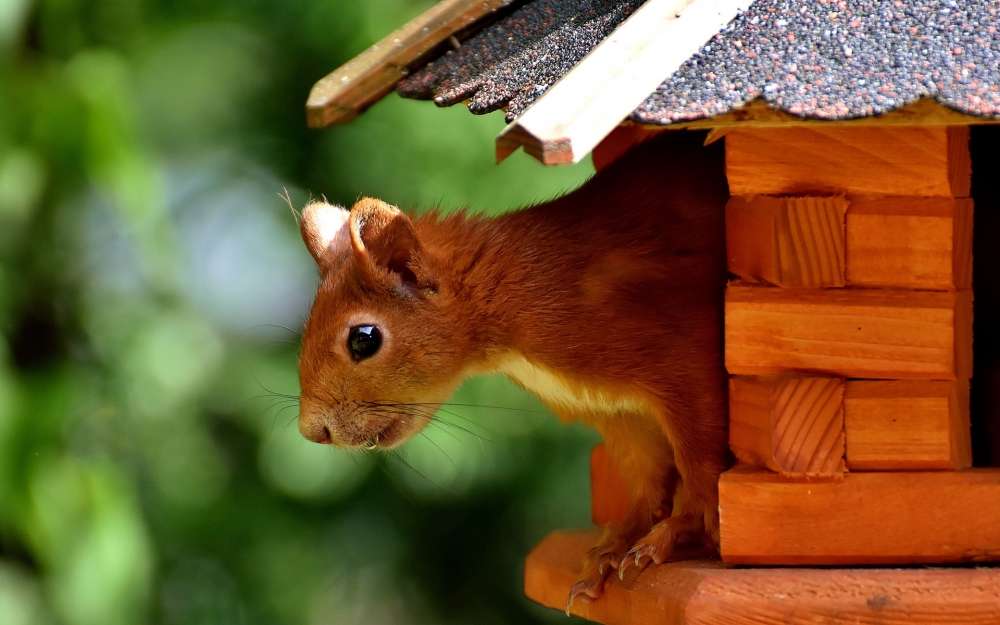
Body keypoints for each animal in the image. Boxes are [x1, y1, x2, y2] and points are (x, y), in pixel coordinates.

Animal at [294, 130, 728, 604]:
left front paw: (673, 533)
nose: (312, 431)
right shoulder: (620, 414)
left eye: (364, 339)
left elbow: (703, 471)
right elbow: (647, 483)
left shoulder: (684, 364)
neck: (504, 295)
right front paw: (616, 543)